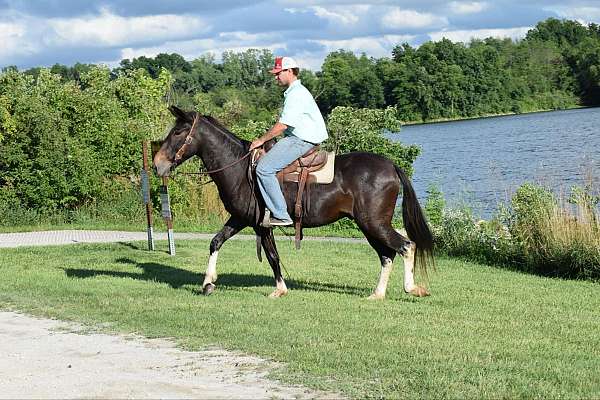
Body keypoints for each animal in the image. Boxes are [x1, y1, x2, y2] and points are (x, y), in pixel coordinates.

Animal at [152, 104, 434, 298]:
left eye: (178, 132)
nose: (157, 165)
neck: (240, 168)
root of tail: (390, 165)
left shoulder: (262, 225)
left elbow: (272, 256)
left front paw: (280, 289)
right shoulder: (240, 219)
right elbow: (215, 242)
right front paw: (208, 282)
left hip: (374, 223)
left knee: (406, 246)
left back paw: (412, 288)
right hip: (368, 225)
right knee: (387, 255)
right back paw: (377, 294)